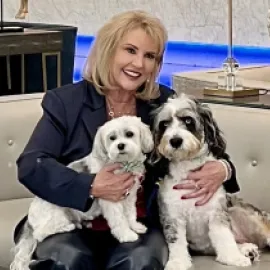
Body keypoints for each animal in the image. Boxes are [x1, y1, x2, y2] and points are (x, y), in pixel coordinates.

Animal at [10, 115, 154, 270]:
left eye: (129, 134)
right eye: (112, 138)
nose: (120, 146)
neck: (123, 164)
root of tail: (30, 219)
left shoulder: (129, 196)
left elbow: (130, 214)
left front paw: (135, 226)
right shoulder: (111, 199)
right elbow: (119, 220)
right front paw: (126, 235)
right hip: (57, 216)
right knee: (40, 233)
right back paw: (67, 227)